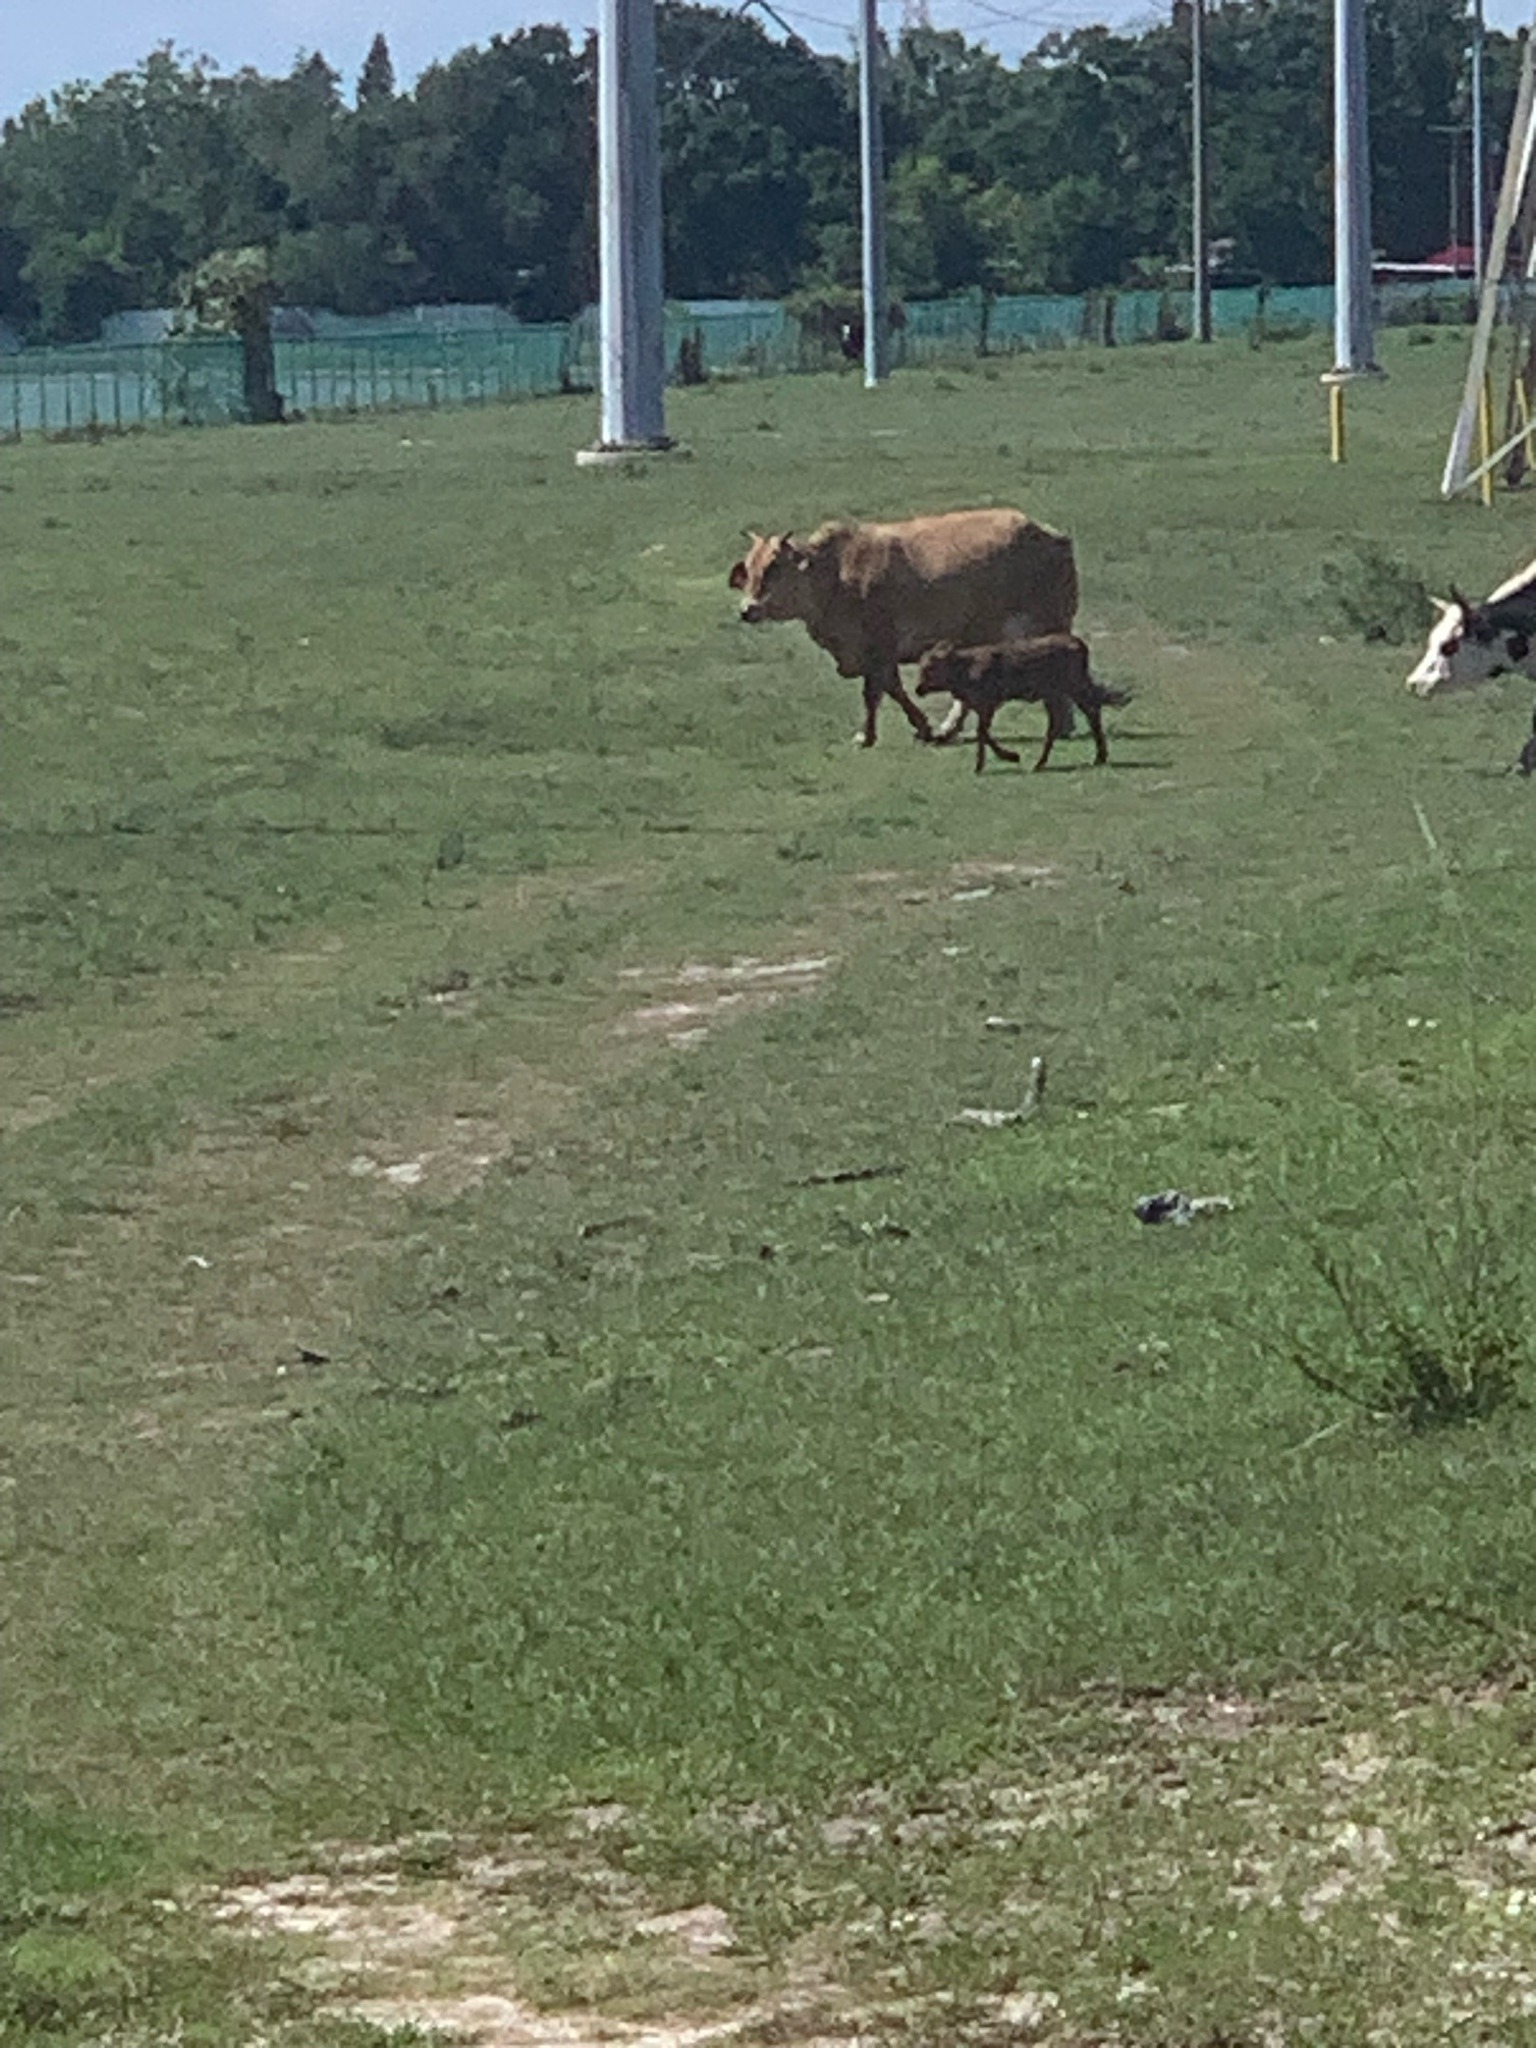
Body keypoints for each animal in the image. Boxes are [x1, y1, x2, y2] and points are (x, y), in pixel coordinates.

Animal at [727, 508, 1080, 747]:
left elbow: (876, 691)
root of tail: (1050, 535)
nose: (747, 609)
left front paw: (869, 735)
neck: (836, 573)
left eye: (774, 567)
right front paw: (921, 727)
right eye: (750, 568)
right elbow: (891, 688)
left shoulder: (880, 645)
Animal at [916, 634, 1129, 773]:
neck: (966, 669)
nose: (918, 689)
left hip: (1071, 688)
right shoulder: (977, 705)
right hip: (1055, 695)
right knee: (1068, 720)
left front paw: (1002, 758)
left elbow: (982, 732)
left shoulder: (989, 703)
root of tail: (1079, 644)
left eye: (930, 668)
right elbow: (983, 732)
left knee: (1089, 711)